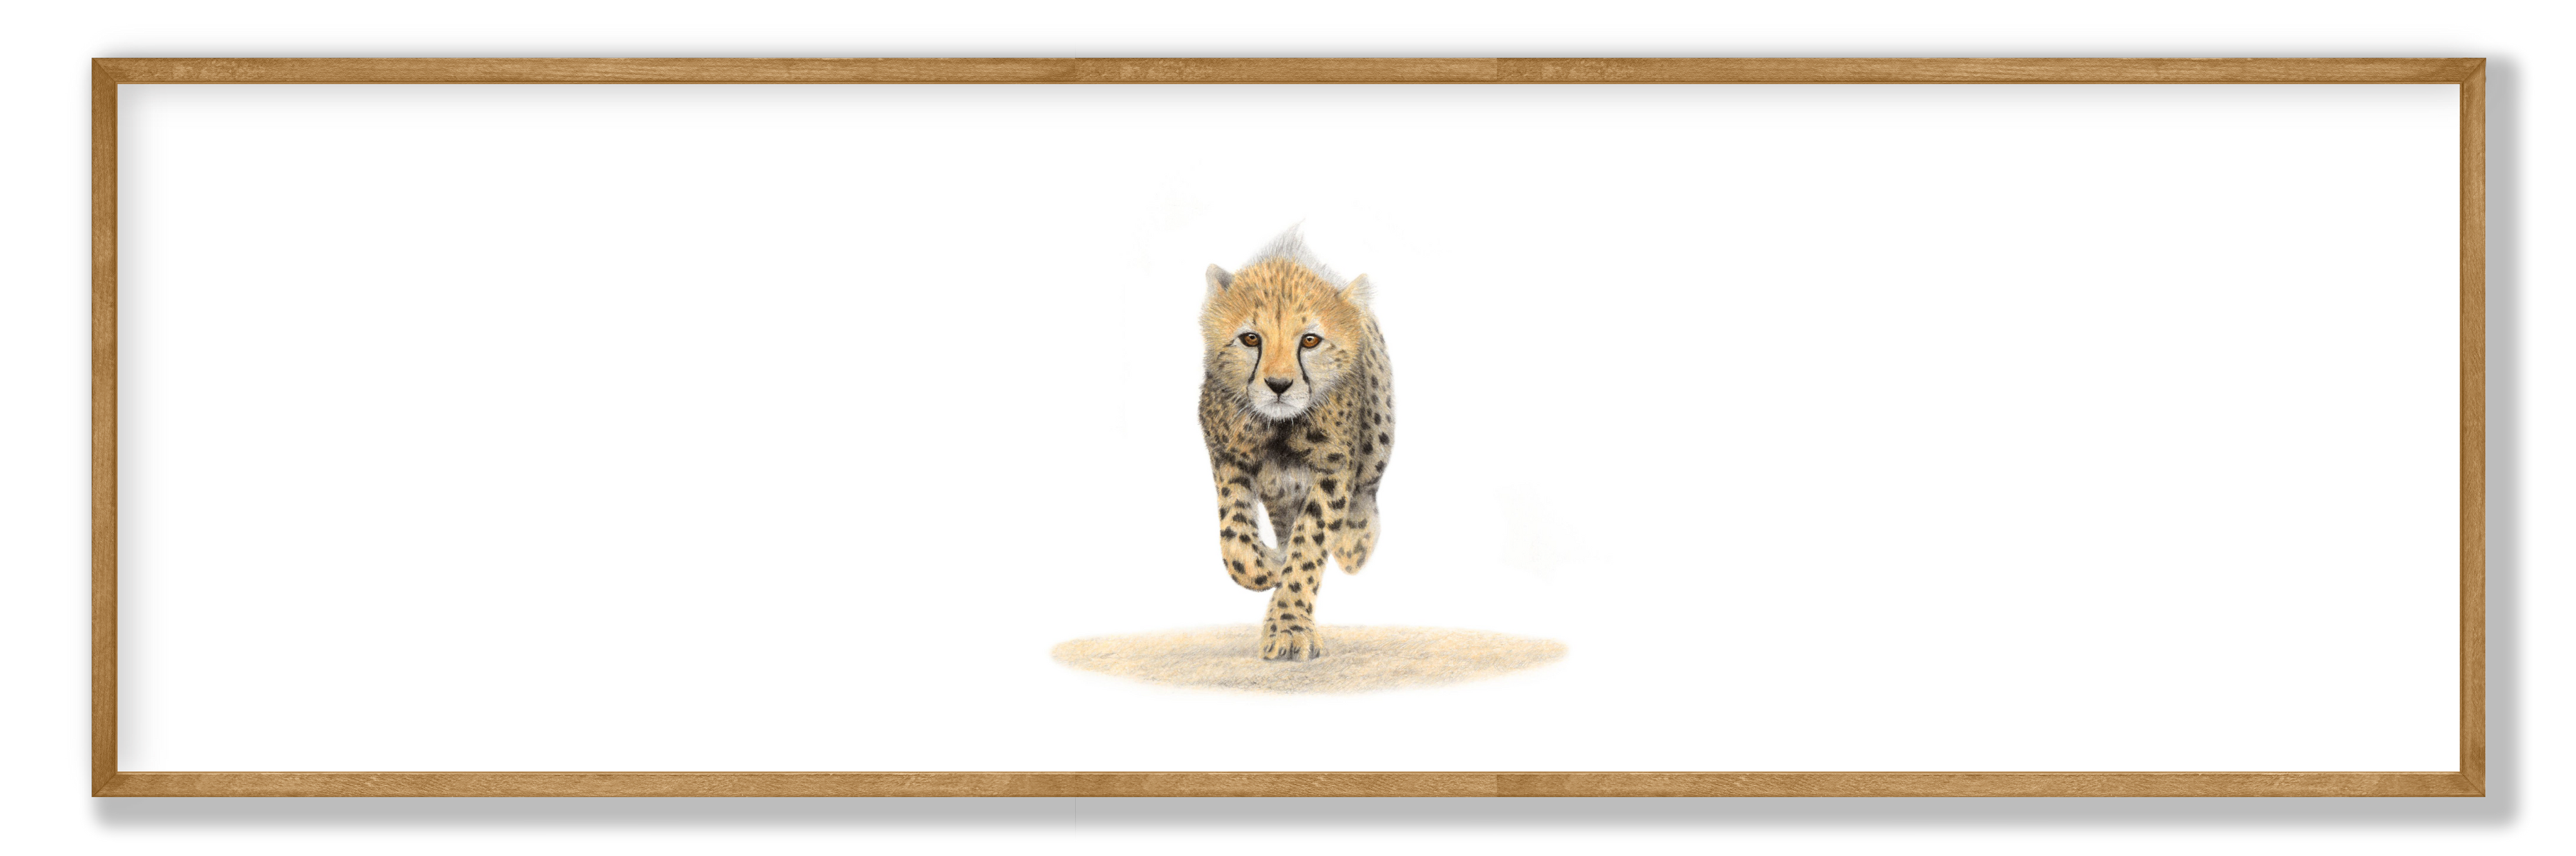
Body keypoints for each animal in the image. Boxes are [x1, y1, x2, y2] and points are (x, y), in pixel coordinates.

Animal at [1196, 228, 1394, 662]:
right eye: (1250, 338)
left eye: (1310, 340)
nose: (1279, 385)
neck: (1280, 428)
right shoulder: (1227, 455)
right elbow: (1236, 544)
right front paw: (1270, 567)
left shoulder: (1333, 469)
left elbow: (1310, 545)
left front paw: (1289, 629)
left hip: (1379, 433)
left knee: (1368, 487)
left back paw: (1356, 543)